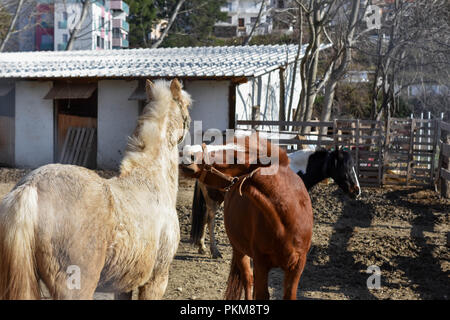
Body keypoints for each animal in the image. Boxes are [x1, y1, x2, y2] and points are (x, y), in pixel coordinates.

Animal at [179, 135, 312, 300]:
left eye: (235, 158)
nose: (189, 155)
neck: (286, 221)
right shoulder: (261, 263)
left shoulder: (297, 266)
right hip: (238, 247)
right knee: (247, 279)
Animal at [190, 149, 362, 258]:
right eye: (345, 168)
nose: (356, 191)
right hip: (214, 198)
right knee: (210, 220)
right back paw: (214, 251)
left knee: (204, 219)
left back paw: (202, 247)